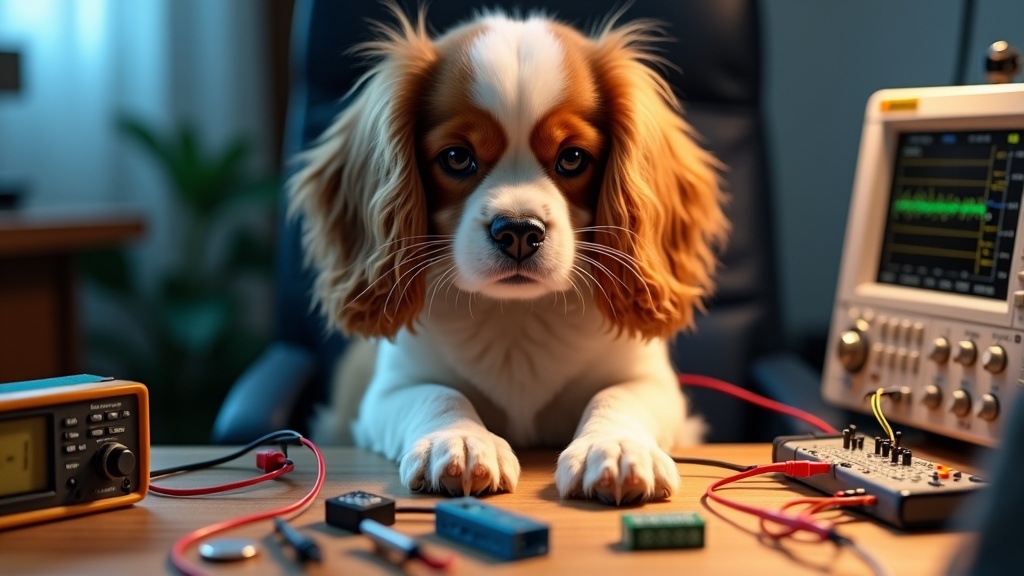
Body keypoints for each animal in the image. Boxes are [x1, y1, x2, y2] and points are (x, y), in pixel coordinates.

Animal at [290, 6, 729, 502]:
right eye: (457, 158)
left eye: (572, 158)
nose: (518, 231)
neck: (517, 315)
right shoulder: (388, 393)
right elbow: (438, 393)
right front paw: (460, 440)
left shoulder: (655, 383)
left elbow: (619, 395)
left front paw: (616, 447)